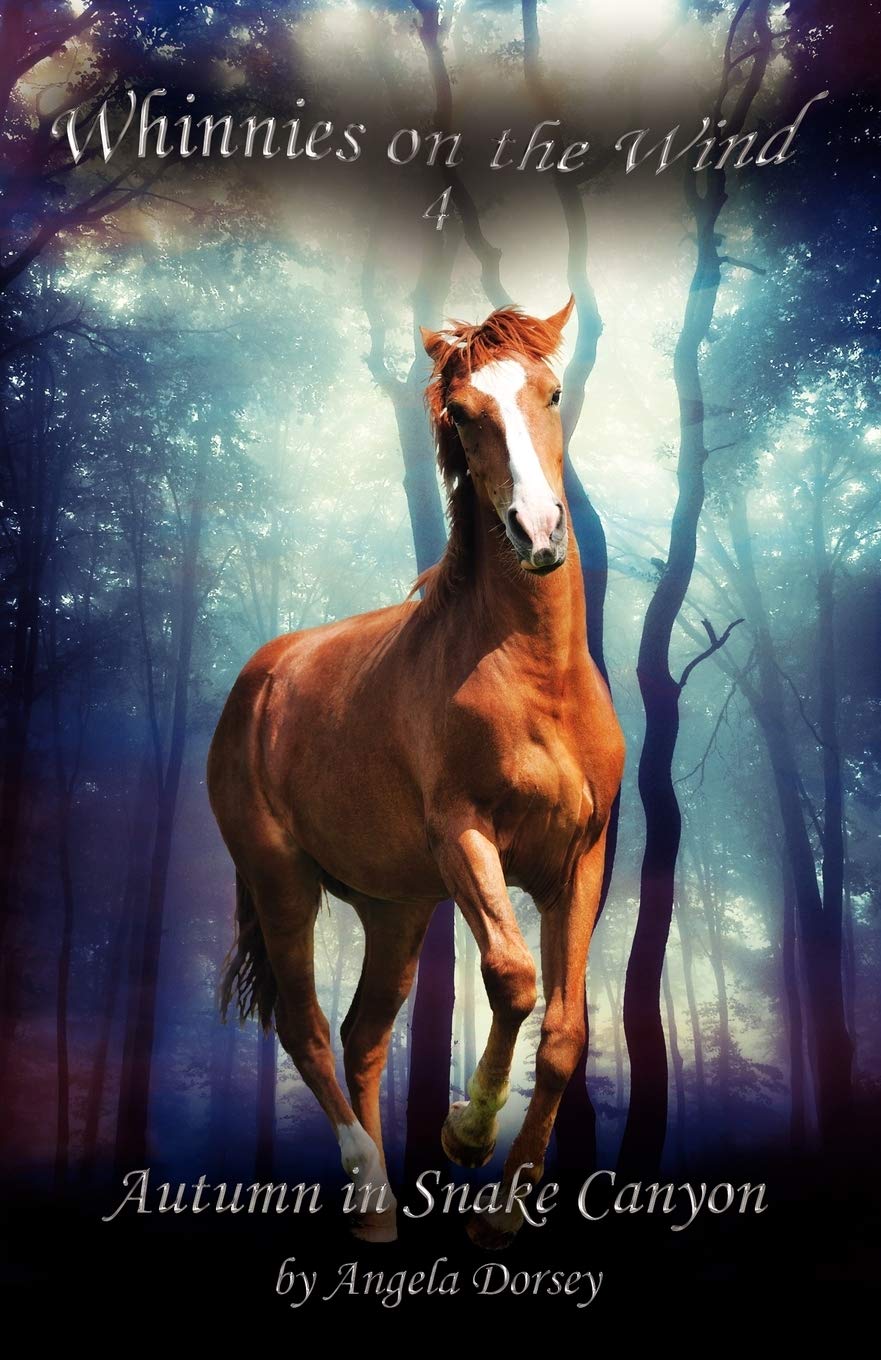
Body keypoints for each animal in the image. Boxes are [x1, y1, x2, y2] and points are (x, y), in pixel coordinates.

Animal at [207, 298, 625, 1247]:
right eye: (464, 414)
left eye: (551, 392)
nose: (537, 531)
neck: (535, 678)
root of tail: (260, 677)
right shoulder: (464, 839)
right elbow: (511, 977)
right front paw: (464, 1133)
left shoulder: (578, 863)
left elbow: (564, 1033)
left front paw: (500, 1216)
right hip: (283, 882)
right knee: (306, 1028)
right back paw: (367, 1183)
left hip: (393, 911)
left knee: (362, 1034)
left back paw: (381, 1213)